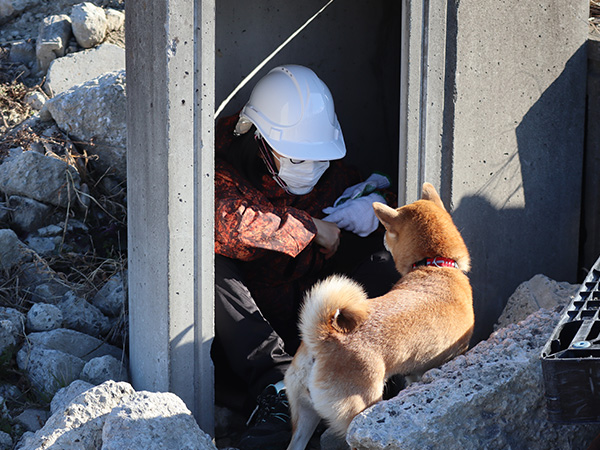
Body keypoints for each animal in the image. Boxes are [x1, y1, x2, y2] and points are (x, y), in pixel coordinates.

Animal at [284, 181, 476, 448]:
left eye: (386, 230)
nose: (381, 238)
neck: (437, 266)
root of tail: (324, 339)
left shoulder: (414, 372)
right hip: (360, 411)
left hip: (305, 416)